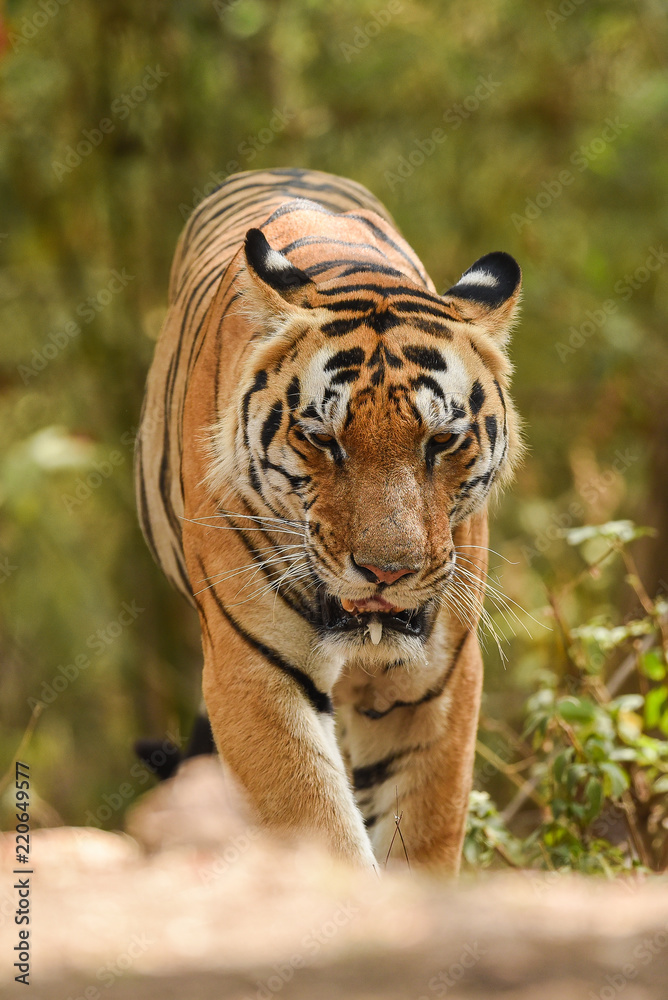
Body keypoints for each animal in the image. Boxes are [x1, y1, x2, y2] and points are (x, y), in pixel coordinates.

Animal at [135, 167, 522, 874]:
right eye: (323, 439)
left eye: (442, 441)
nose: (386, 572)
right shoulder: (253, 668)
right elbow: (317, 827)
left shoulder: (437, 680)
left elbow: (422, 837)